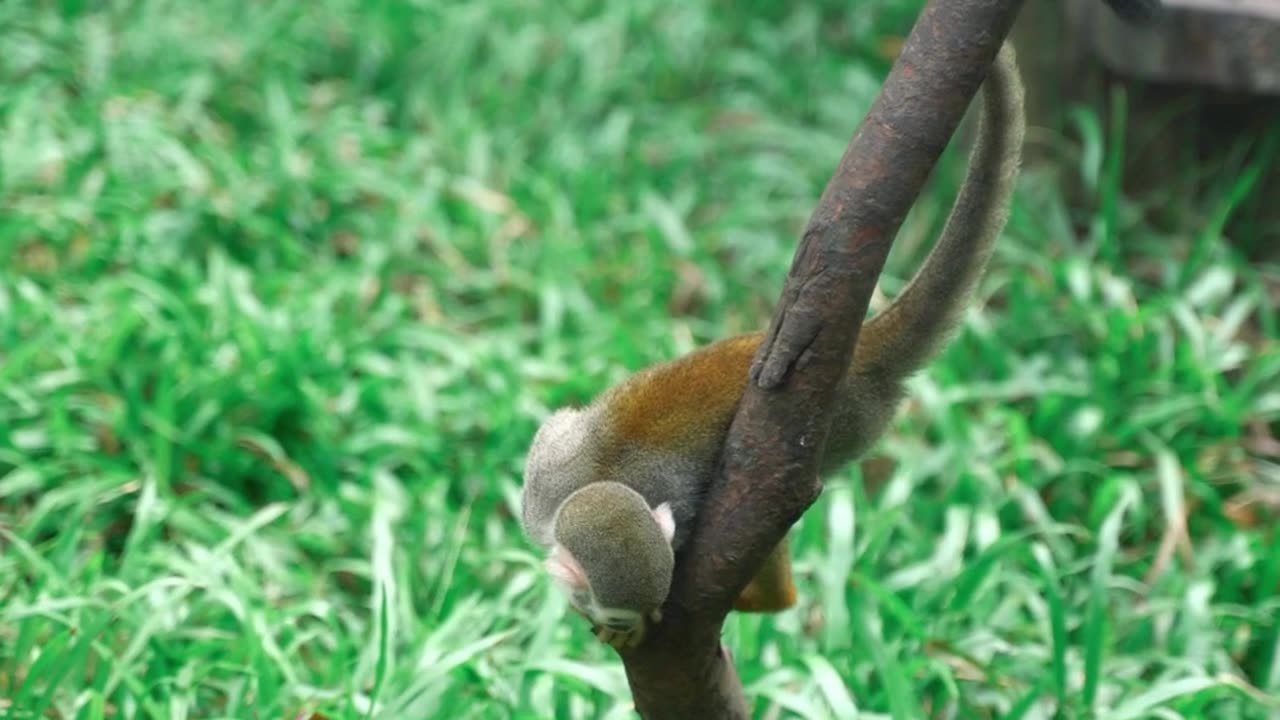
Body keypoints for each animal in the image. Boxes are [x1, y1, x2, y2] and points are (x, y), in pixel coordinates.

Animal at [514, 43, 1024, 650]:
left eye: (626, 617)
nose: (625, 629)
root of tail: (863, 353)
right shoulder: (545, 475)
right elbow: (556, 428)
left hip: (836, 433)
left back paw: (769, 598)